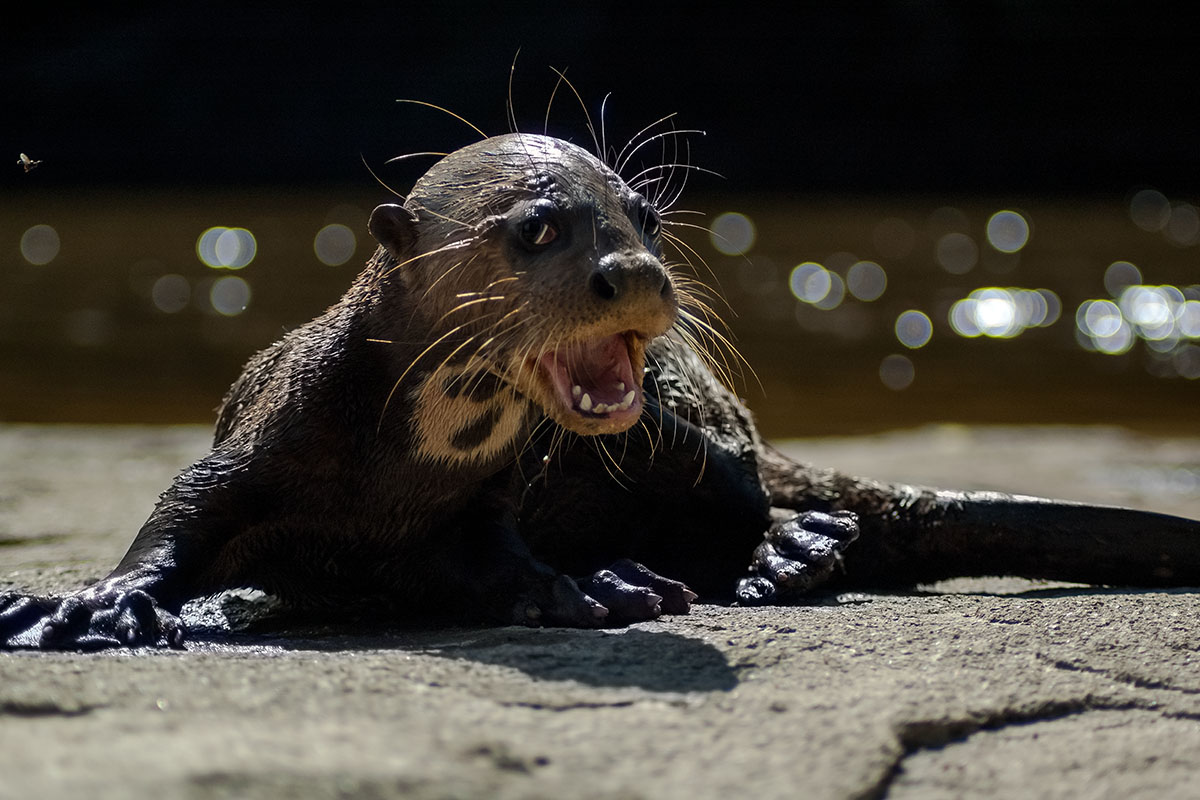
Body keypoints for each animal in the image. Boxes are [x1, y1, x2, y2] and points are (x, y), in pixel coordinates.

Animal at [7, 131, 1200, 652]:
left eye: (645, 215)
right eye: (539, 228)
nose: (634, 272)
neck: (394, 469)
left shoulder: (483, 506)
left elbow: (491, 558)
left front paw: (576, 589)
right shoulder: (259, 440)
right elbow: (182, 512)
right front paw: (92, 603)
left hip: (692, 430)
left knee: (759, 496)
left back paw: (781, 554)